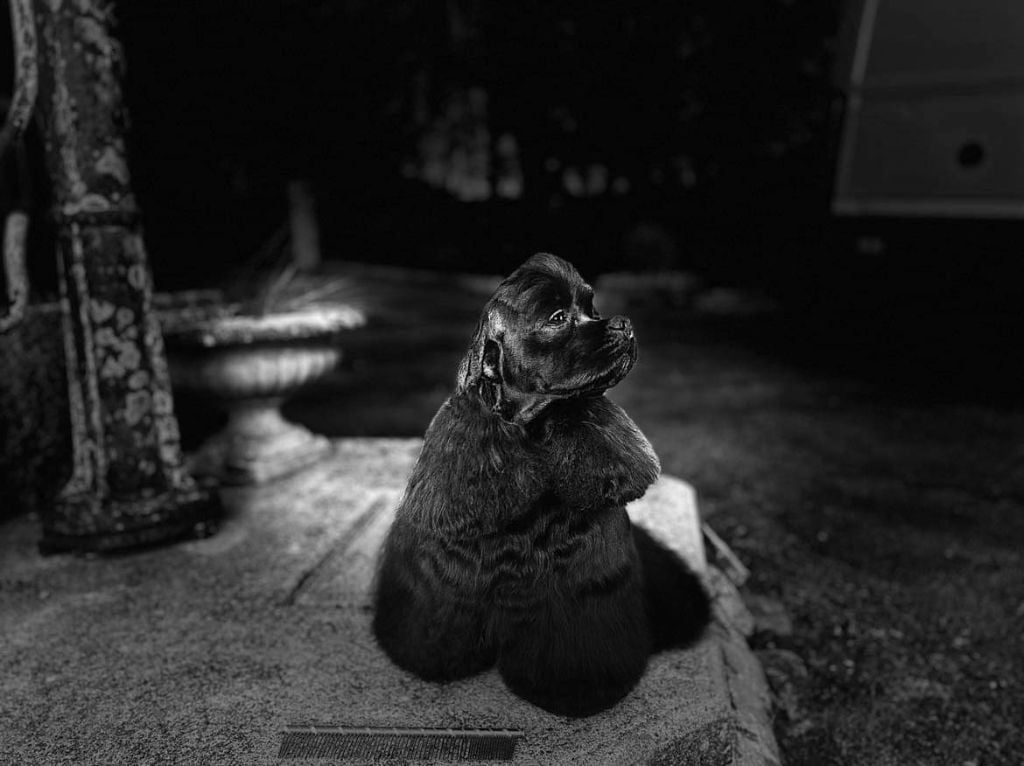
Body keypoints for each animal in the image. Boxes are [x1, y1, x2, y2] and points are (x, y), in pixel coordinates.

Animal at [372, 253, 710, 716]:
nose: (624, 324)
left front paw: (572, 693)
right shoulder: (445, 582)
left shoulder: (582, 591)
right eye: (557, 317)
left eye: (593, 309)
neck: (531, 439)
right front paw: (431, 662)